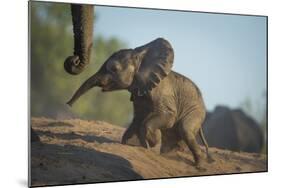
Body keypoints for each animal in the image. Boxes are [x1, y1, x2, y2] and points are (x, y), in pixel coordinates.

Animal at [67, 37, 212, 170]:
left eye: (114, 68)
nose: (68, 104)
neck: (141, 58)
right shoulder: (138, 94)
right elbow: (138, 118)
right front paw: (137, 144)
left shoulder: (161, 92)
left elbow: (166, 117)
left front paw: (152, 142)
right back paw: (169, 155)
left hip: (196, 111)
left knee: (186, 130)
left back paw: (199, 166)